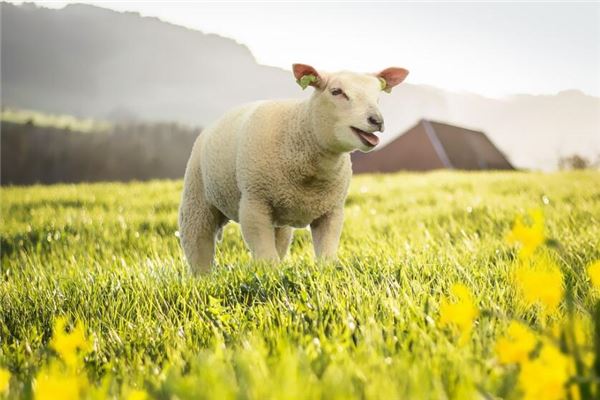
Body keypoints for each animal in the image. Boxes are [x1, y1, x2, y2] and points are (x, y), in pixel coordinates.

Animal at [177, 63, 408, 276]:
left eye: (378, 96)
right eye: (336, 92)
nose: (376, 120)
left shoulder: (331, 211)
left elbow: (326, 255)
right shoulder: (254, 202)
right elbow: (266, 257)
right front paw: (269, 280)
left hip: (279, 217)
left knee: (279, 242)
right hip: (197, 198)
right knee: (197, 243)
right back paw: (202, 278)